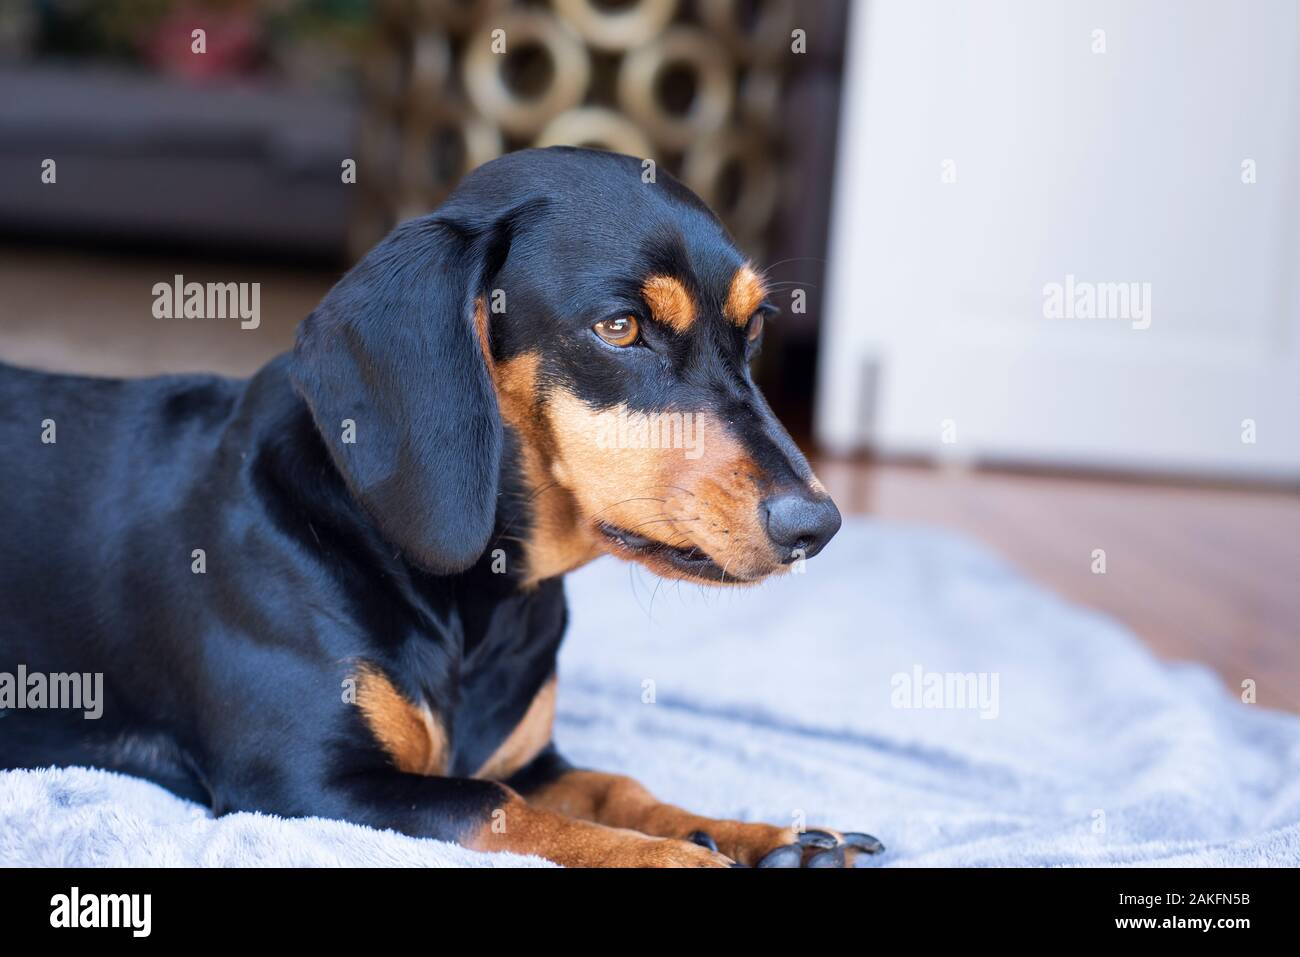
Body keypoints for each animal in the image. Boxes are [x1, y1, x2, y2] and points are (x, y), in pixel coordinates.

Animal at [0, 147, 878, 868]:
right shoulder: (305, 782)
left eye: (753, 328)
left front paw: (762, 834)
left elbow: (613, 787)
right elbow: (498, 805)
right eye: (621, 327)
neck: (477, 599)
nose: (818, 524)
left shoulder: (534, 760)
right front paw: (678, 857)